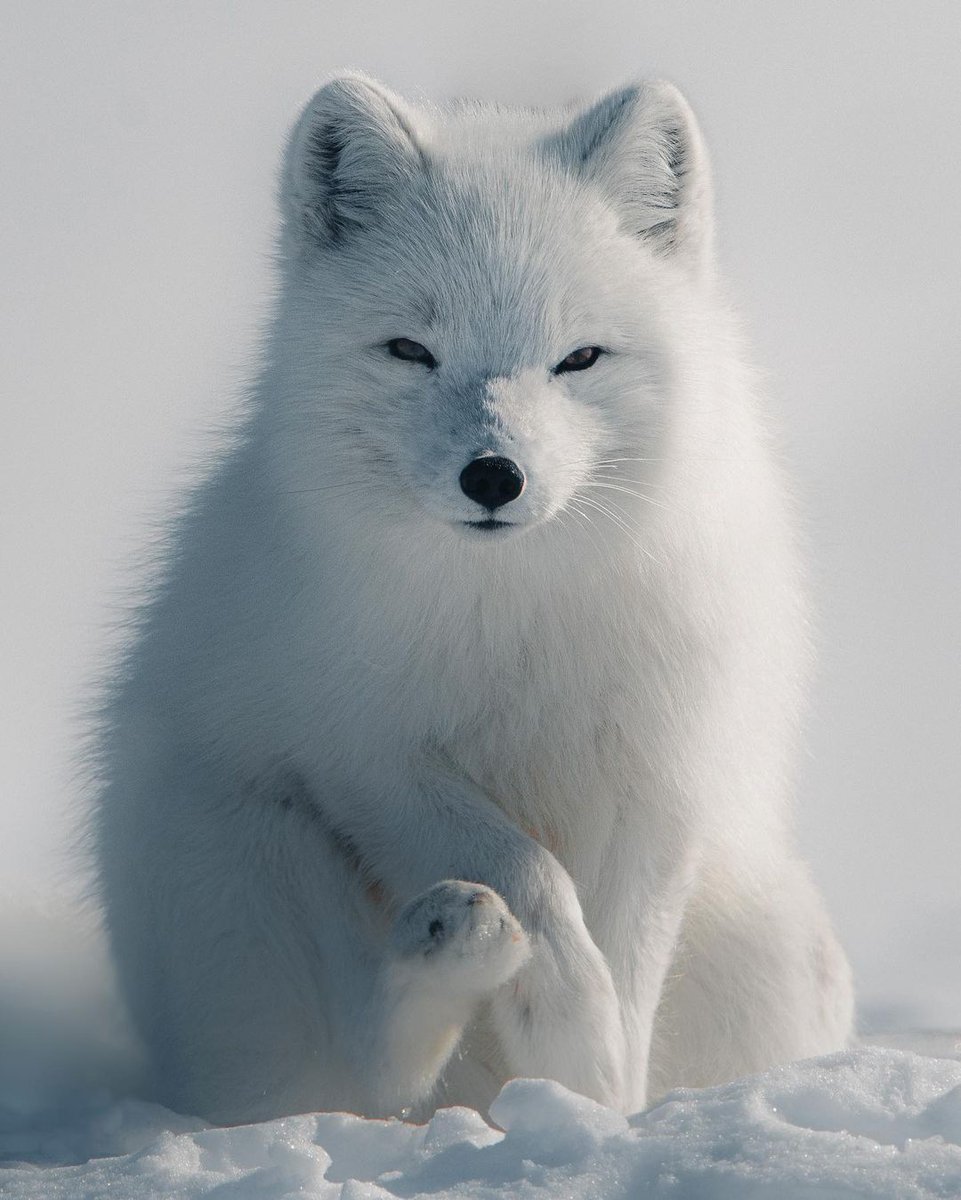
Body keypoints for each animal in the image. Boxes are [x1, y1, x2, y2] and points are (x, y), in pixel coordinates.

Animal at [93, 73, 854, 1124]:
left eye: (579, 358)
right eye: (411, 350)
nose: (492, 475)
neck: (517, 613)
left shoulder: (658, 780)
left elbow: (624, 957)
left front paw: (597, 1093)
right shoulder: (366, 756)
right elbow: (527, 870)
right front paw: (566, 1020)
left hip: (783, 950)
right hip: (244, 846)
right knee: (353, 1073)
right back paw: (455, 948)